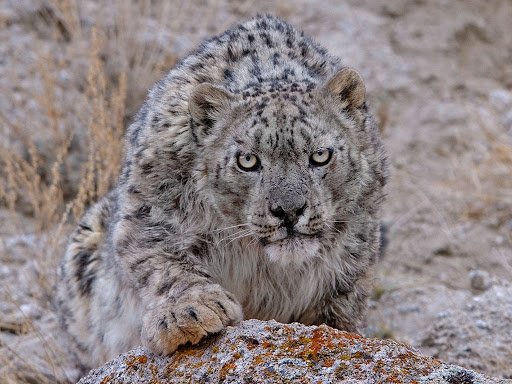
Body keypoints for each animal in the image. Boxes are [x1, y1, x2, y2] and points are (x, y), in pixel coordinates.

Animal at [56, 14, 386, 368]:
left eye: (321, 155)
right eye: (247, 160)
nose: (289, 211)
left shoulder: (352, 259)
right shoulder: (149, 215)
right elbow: (162, 262)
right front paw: (188, 313)